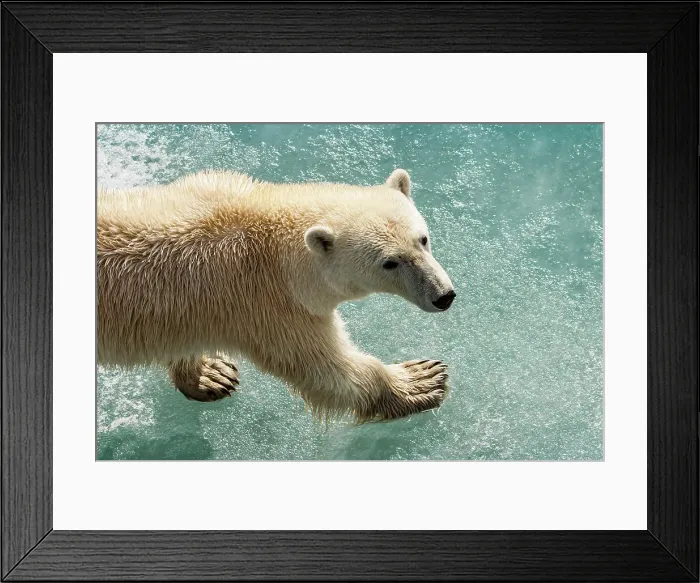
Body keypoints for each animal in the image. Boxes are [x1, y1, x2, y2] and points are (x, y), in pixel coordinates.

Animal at [97, 169, 456, 422]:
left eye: (423, 239)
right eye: (389, 262)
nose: (444, 296)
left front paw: (211, 374)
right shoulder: (271, 308)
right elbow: (326, 368)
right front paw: (422, 379)